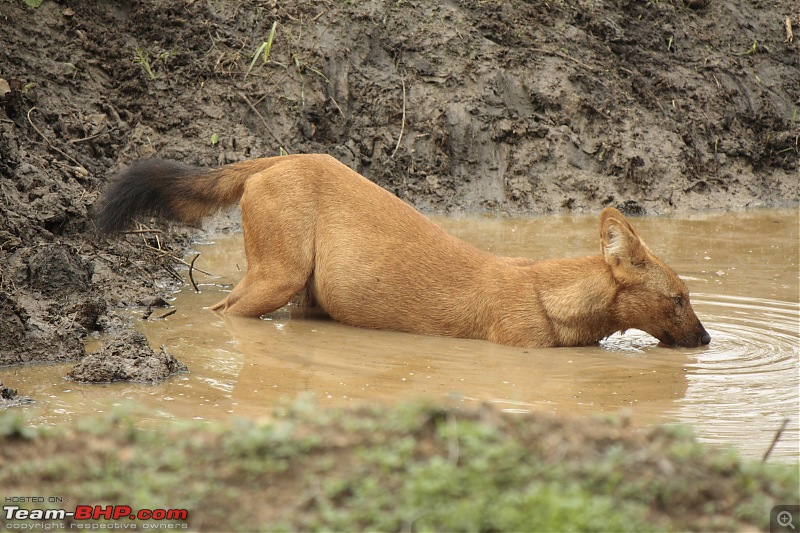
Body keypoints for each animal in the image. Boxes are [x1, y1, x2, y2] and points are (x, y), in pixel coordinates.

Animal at [97, 152, 708, 348]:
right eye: (679, 298)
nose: (706, 339)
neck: (552, 297)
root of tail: (283, 157)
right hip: (277, 277)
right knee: (222, 311)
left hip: (307, 295)